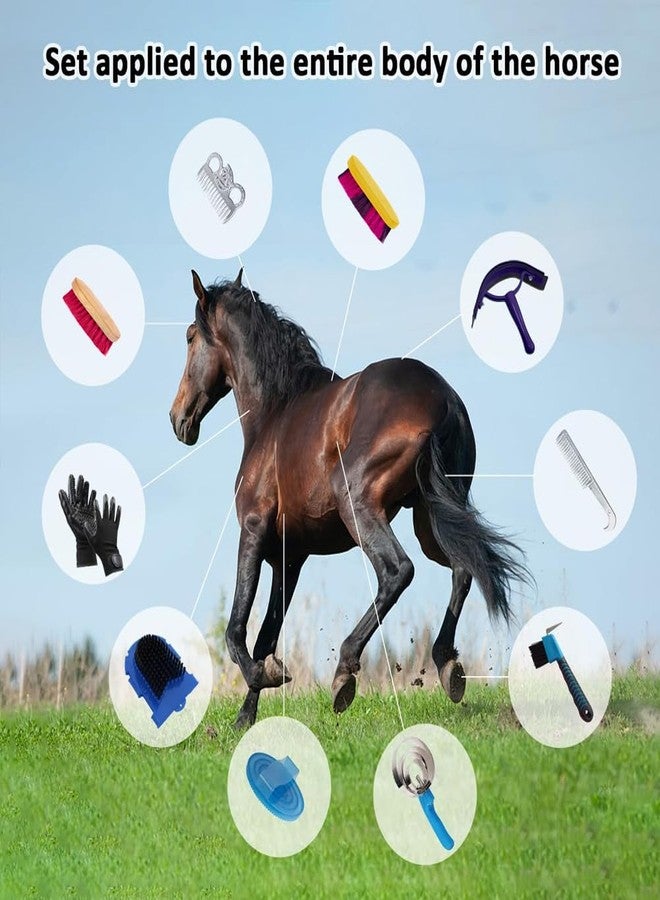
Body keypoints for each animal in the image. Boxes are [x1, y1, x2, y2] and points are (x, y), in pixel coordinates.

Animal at [170, 269, 528, 728]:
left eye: (190, 336)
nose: (178, 418)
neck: (273, 414)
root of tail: (443, 402)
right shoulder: (289, 558)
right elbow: (267, 634)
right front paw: (246, 717)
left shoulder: (252, 533)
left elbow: (237, 630)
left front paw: (265, 678)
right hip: (433, 520)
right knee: (464, 569)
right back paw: (448, 666)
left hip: (359, 507)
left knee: (398, 572)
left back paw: (345, 673)